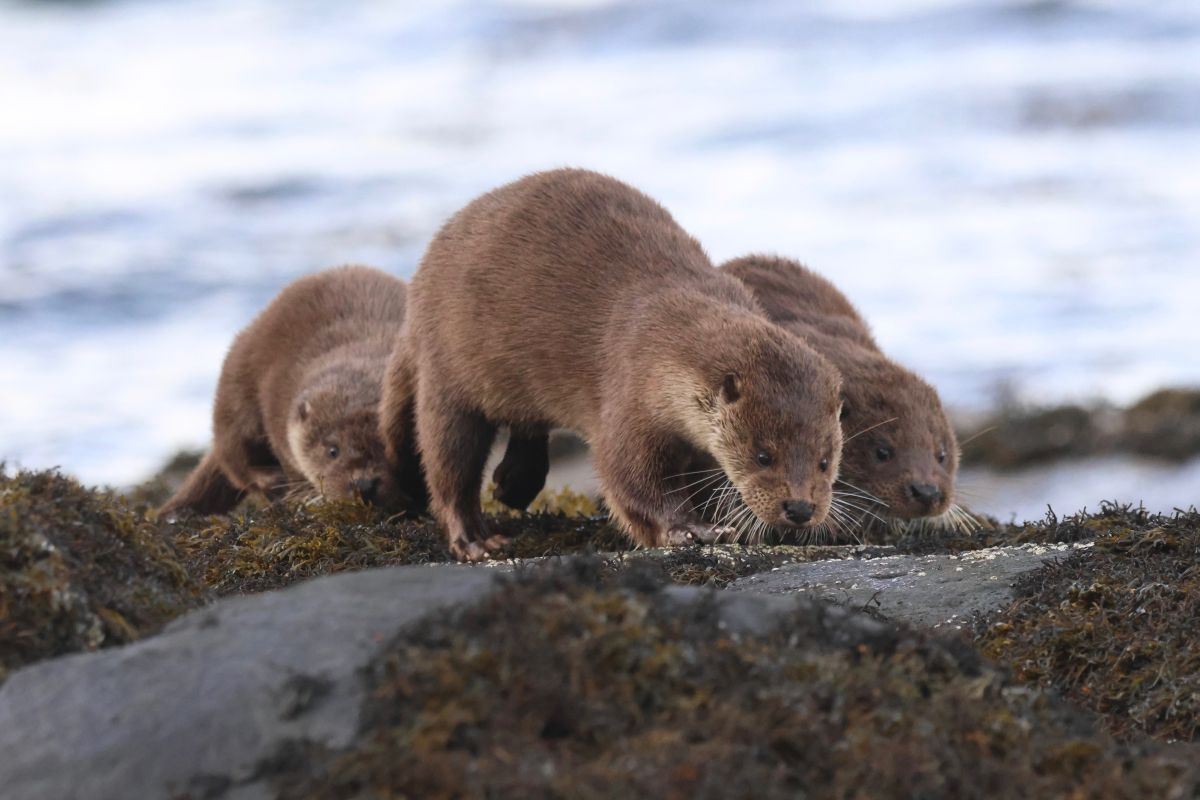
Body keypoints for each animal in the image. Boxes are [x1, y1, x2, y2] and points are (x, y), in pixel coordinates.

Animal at [386, 167, 844, 563]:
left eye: (825, 460)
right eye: (763, 456)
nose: (800, 508)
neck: (667, 344)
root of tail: (419, 288)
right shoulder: (630, 395)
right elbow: (628, 479)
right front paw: (692, 529)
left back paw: (514, 485)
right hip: (447, 372)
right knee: (448, 463)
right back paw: (475, 539)